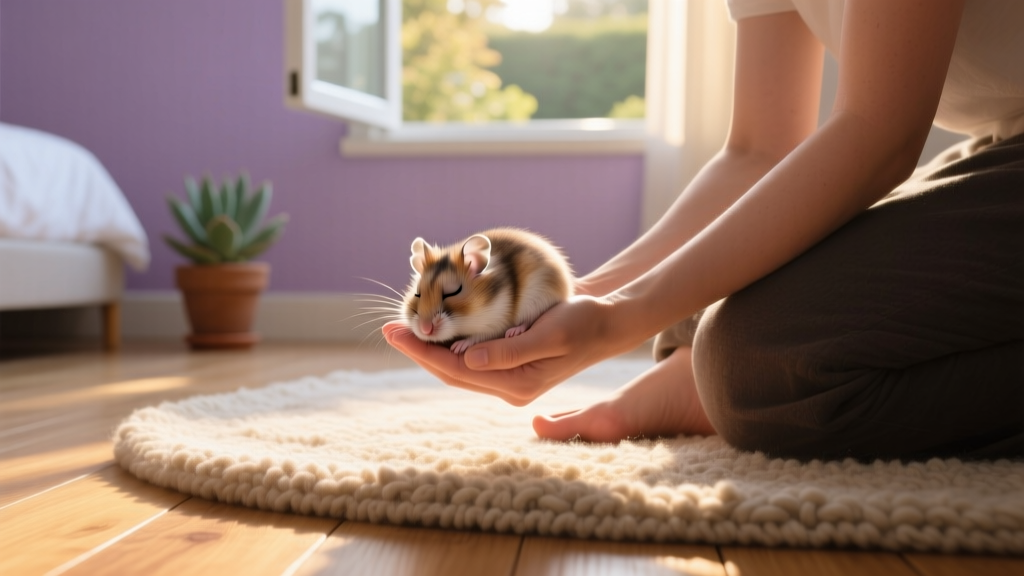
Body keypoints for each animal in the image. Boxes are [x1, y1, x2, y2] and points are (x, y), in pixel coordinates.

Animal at [403, 227, 574, 354]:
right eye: (417, 293)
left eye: (453, 292)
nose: (425, 330)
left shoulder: (497, 321)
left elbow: (480, 336)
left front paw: (457, 347)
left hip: (538, 300)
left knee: (529, 320)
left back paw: (514, 332)